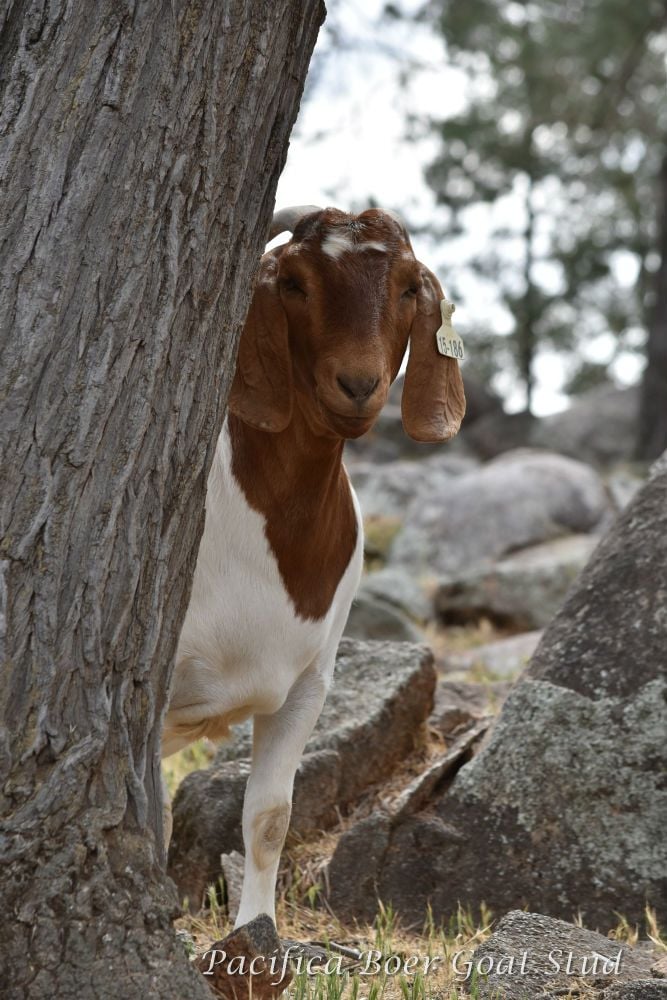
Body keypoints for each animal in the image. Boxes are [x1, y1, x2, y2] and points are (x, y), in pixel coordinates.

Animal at [162, 206, 466, 928]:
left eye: (408, 287)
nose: (358, 385)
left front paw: (256, 936)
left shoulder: (308, 684)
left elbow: (270, 818)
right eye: (294, 284)